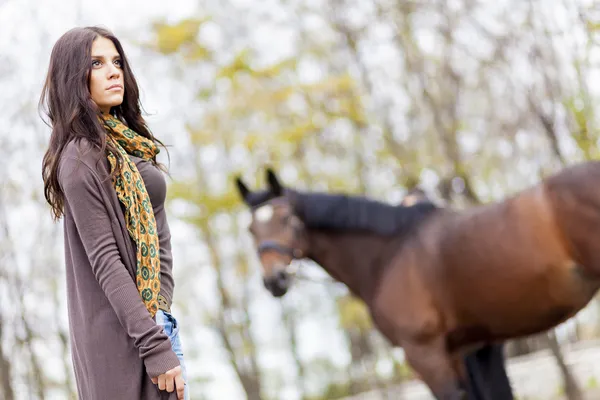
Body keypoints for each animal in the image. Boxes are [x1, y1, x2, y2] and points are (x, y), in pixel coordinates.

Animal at [233, 166, 600, 400]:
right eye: (250, 229)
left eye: (287, 218)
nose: (275, 280)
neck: (389, 253)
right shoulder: (461, 352)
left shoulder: (425, 355)